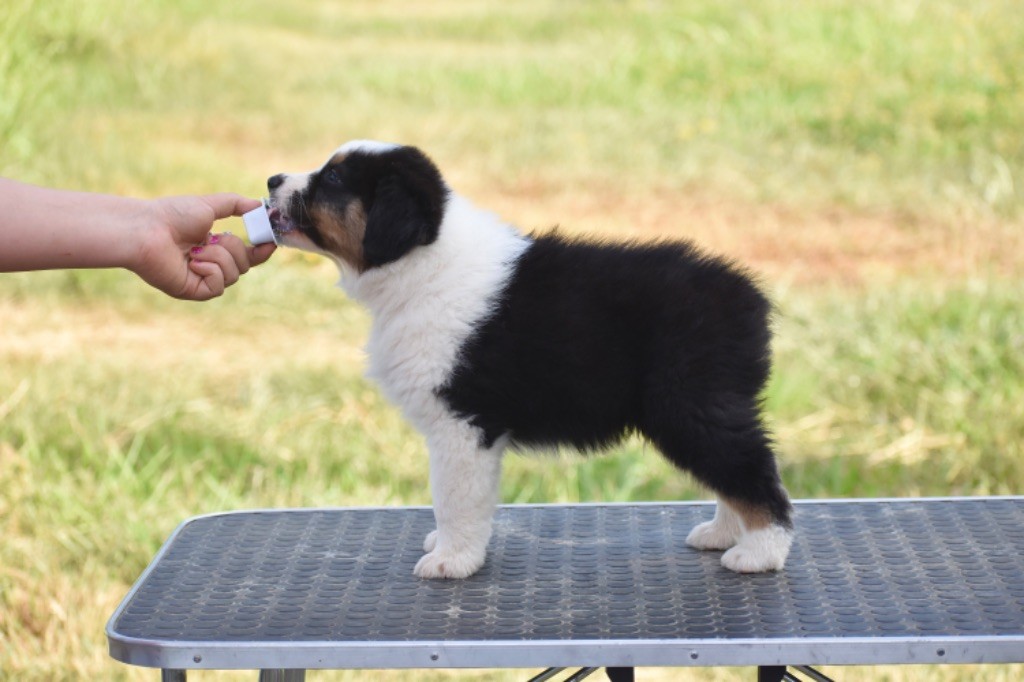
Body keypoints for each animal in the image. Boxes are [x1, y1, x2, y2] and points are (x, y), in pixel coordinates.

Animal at [264, 140, 790, 577]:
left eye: (333, 178)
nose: (271, 180)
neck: (422, 262)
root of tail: (747, 298)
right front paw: (452, 549)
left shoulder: (462, 424)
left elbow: (453, 498)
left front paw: (451, 561)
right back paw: (723, 533)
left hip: (688, 404)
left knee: (751, 471)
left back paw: (759, 551)